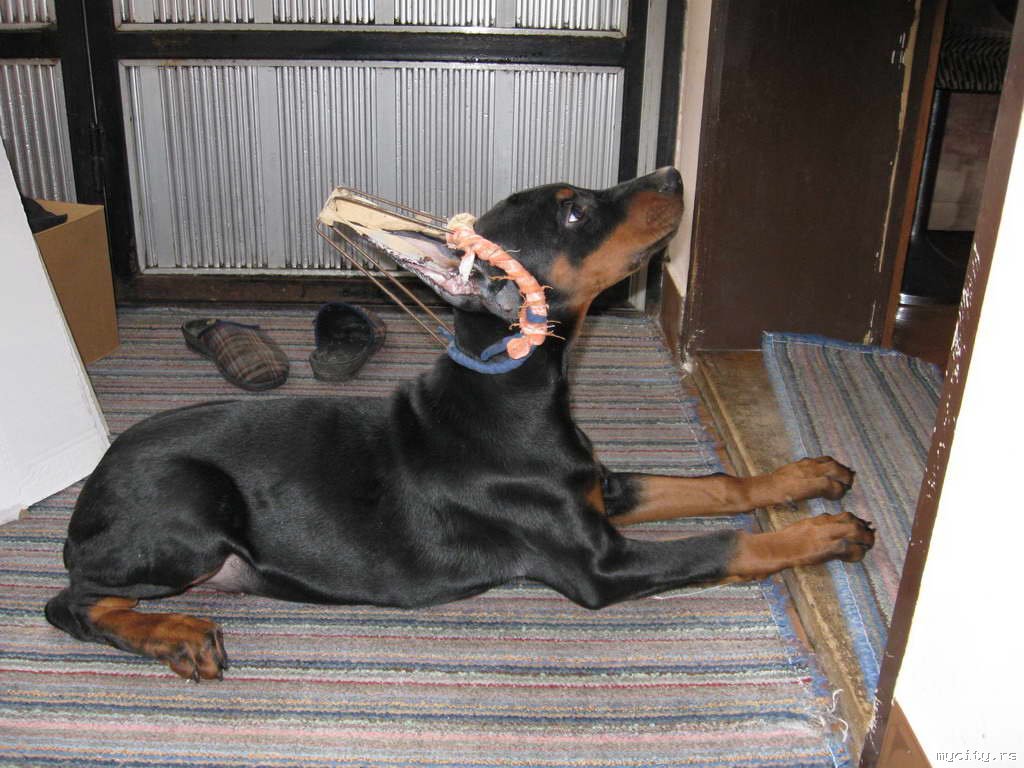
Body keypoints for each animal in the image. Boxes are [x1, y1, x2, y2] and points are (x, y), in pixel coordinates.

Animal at [45, 168, 874, 681]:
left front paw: (806, 475)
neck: (514, 392)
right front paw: (825, 533)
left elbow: (715, 482)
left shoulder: (598, 487)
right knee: (71, 602)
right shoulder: (599, 568)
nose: (673, 172)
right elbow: (725, 543)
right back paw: (178, 636)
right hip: (194, 511)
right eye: (575, 210)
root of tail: (91, 491)